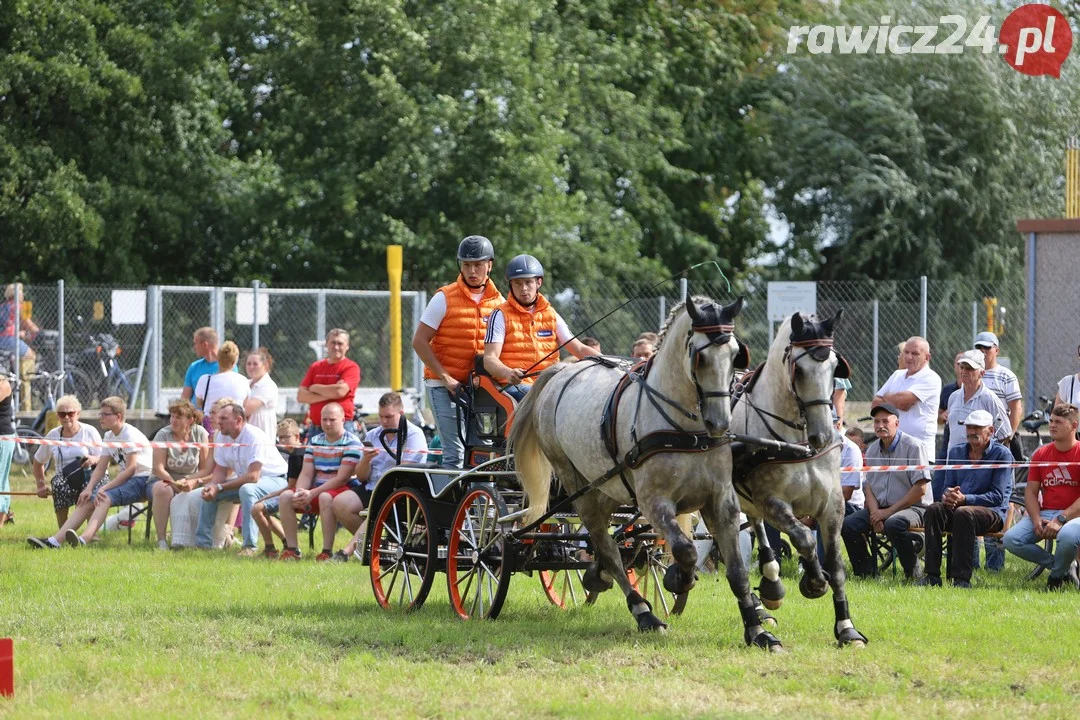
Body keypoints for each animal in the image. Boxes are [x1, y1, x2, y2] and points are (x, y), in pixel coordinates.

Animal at [509, 295, 781, 651]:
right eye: (700, 355)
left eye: (737, 354)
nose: (721, 423)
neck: (685, 428)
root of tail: (561, 372)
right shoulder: (654, 502)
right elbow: (685, 550)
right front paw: (678, 578)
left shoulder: (721, 500)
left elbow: (736, 569)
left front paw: (758, 629)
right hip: (577, 484)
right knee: (606, 545)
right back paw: (643, 612)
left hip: (609, 485)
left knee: (609, 538)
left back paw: (598, 576)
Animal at [725, 313, 868, 651]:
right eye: (799, 369)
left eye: (835, 367)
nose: (823, 434)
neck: (798, 443)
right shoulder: (773, 502)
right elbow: (804, 538)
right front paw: (814, 583)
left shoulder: (833, 506)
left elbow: (836, 566)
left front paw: (846, 628)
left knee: (754, 526)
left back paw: (768, 587)